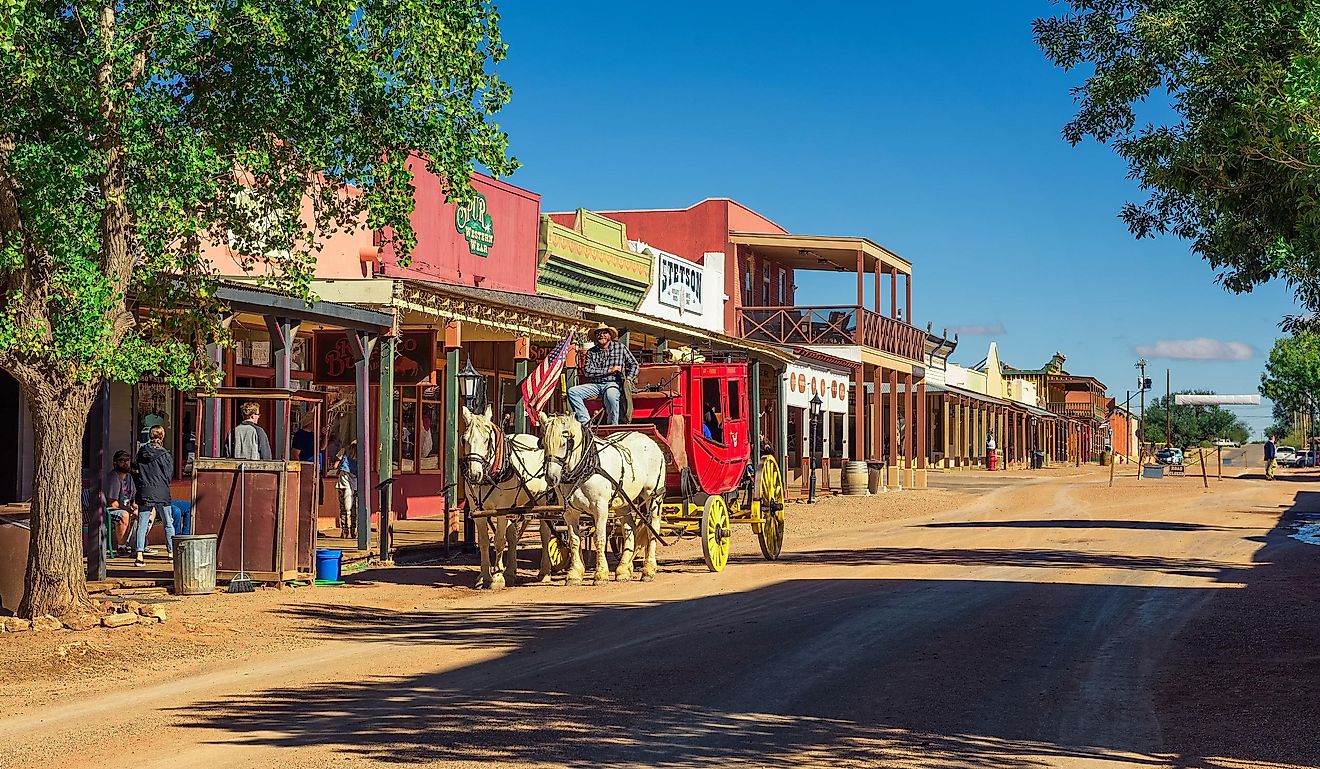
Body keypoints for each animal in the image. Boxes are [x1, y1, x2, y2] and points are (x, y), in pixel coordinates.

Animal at [459, 403, 557, 590]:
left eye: (487, 440)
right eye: (463, 439)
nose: (474, 474)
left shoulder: (501, 510)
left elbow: (499, 540)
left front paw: (497, 578)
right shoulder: (477, 511)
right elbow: (484, 541)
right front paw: (485, 576)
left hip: (542, 502)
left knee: (545, 532)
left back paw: (544, 572)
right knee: (513, 534)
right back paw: (511, 572)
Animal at [535, 414, 665, 583]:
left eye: (563, 443)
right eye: (543, 444)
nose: (551, 478)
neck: (585, 468)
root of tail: (649, 440)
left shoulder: (600, 508)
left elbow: (599, 538)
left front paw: (601, 574)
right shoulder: (570, 512)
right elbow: (574, 539)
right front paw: (575, 573)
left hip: (653, 495)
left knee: (652, 529)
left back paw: (648, 570)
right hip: (623, 500)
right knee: (629, 530)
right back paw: (623, 570)